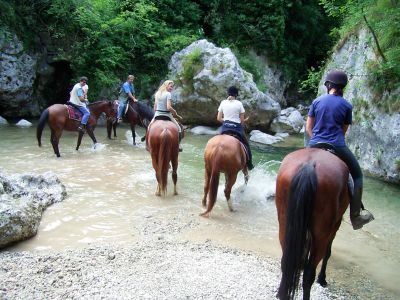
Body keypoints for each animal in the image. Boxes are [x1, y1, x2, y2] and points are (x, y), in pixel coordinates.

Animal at [276, 148, 350, 300]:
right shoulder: (335, 225)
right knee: (309, 274)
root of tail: (309, 165)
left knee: (285, 262)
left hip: (284, 224)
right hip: (322, 234)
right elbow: (328, 252)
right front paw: (322, 279)